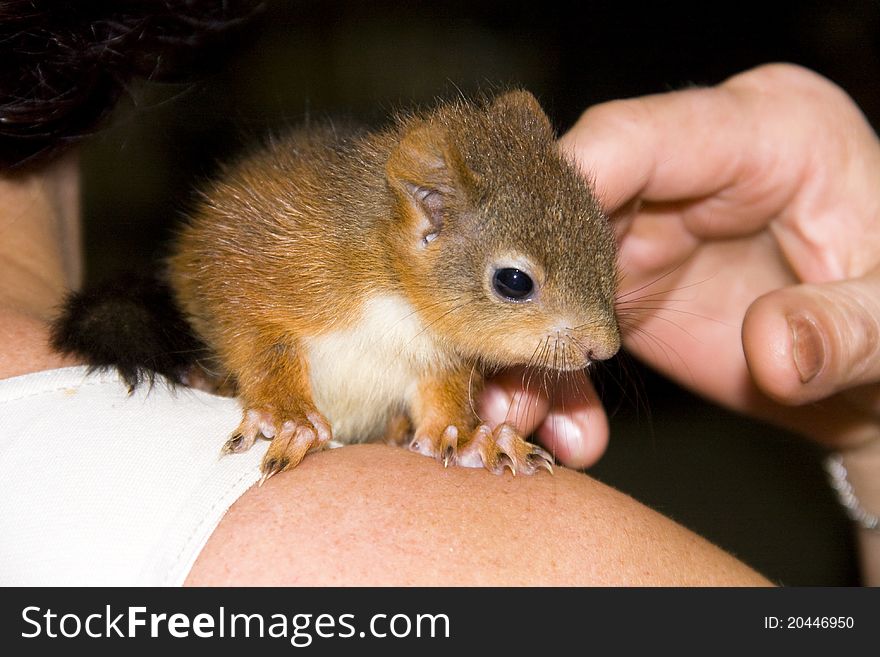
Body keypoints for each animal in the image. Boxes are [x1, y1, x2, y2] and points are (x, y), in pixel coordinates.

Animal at [56, 89, 620, 480]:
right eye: (513, 281)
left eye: (605, 238)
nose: (605, 349)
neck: (398, 298)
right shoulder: (270, 258)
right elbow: (248, 326)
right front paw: (290, 418)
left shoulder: (438, 357)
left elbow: (440, 400)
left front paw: (472, 439)